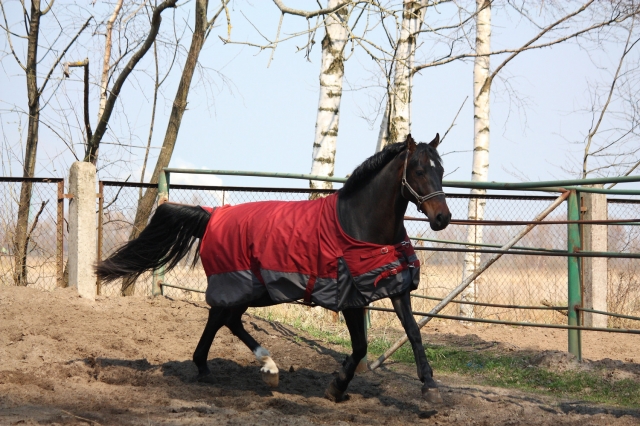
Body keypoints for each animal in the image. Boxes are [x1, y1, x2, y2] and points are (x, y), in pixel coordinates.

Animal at [97, 135, 452, 404]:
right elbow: (361, 346)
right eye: (419, 170)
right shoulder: (351, 297)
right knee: (223, 318)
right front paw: (336, 387)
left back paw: (222, 368)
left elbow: (414, 332)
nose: (442, 218)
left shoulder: (395, 287)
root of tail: (212, 216)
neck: (358, 224)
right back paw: (262, 367)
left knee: (223, 319)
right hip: (244, 286)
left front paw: (430, 388)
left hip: (251, 289)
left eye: (442, 170)